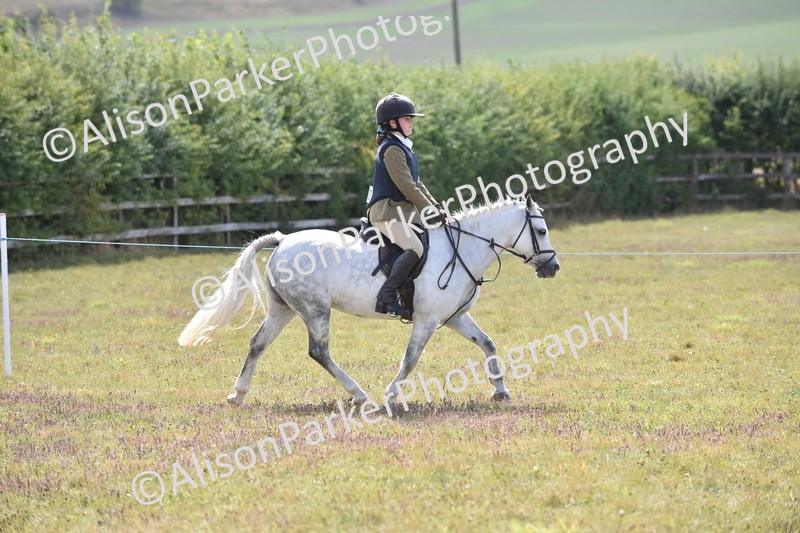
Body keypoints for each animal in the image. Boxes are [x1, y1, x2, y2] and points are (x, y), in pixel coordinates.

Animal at [178, 195, 559, 413]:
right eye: (540, 232)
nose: (553, 267)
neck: (461, 248)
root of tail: (284, 240)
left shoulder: (454, 317)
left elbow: (488, 344)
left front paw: (501, 390)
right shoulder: (427, 320)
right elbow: (410, 360)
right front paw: (390, 396)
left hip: (283, 309)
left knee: (258, 344)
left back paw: (238, 395)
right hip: (315, 310)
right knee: (319, 351)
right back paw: (359, 394)